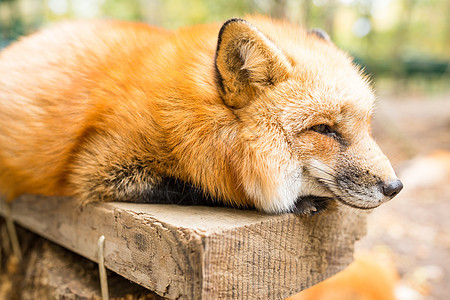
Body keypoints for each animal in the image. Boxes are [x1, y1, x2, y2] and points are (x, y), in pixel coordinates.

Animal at [0, 16, 402, 214]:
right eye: (323, 129)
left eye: (366, 126)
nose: (395, 187)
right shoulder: (95, 169)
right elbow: (203, 189)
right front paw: (290, 201)